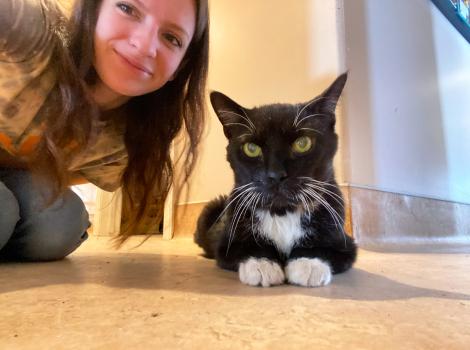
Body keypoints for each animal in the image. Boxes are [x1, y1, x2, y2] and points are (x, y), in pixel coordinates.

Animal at [194, 74, 356, 288]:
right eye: (251, 148)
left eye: (303, 143)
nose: (275, 174)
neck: (282, 212)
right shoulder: (226, 244)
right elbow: (244, 248)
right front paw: (262, 264)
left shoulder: (345, 242)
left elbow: (326, 248)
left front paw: (309, 263)